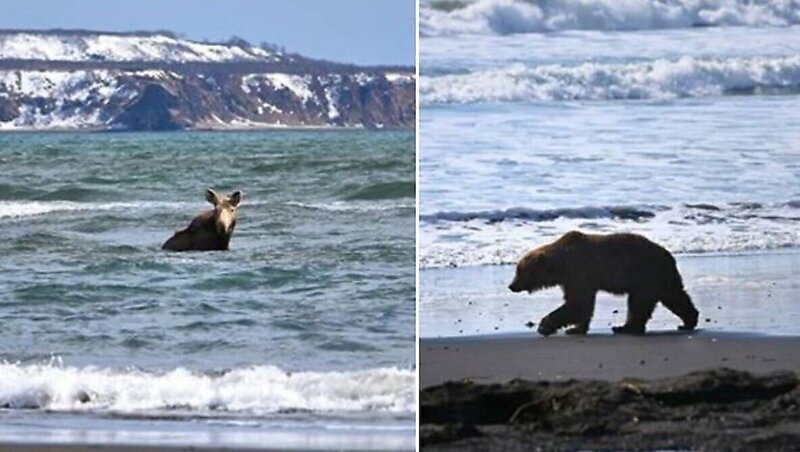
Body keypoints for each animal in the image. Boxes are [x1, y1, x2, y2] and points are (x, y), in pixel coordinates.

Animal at [510, 233, 696, 336]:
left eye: (519, 271)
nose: (511, 286)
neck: (562, 264)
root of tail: (669, 256)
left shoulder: (578, 273)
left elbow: (578, 303)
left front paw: (544, 326)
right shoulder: (573, 279)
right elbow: (581, 305)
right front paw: (576, 328)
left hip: (646, 275)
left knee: (639, 304)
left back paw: (626, 327)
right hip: (660, 279)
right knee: (675, 296)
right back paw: (688, 321)